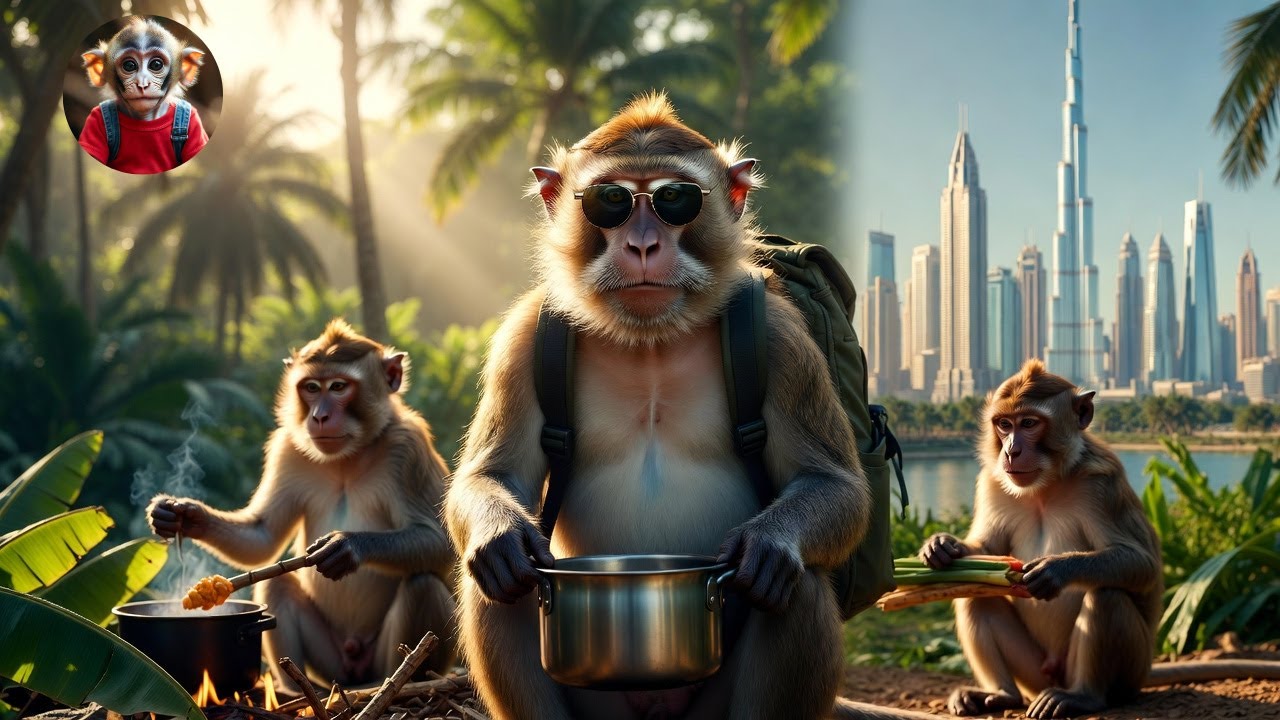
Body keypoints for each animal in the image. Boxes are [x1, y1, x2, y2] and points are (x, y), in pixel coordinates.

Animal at [147, 319, 457, 691]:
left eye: (338, 387)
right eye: (311, 387)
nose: (319, 416)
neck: (347, 457)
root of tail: (353, 673)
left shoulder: (408, 448)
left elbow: (441, 542)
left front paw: (347, 546)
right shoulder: (288, 449)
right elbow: (262, 536)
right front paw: (181, 515)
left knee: (423, 584)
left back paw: (400, 681)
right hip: (330, 662)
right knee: (277, 584)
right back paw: (294, 688)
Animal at [444, 92, 872, 720]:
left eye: (675, 199)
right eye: (611, 201)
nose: (643, 243)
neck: (649, 338)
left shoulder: (782, 341)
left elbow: (833, 483)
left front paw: (769, 544)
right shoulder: (521, 340)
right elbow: (494, 477)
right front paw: (502, 536)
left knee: (798, 586)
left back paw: (777, 566)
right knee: (502, 587)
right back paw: (504, 566)